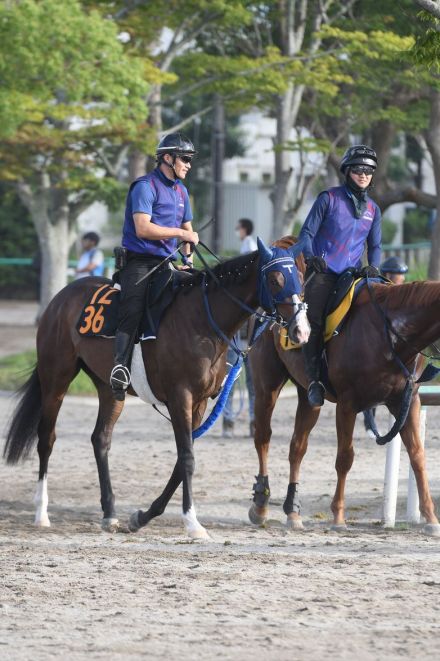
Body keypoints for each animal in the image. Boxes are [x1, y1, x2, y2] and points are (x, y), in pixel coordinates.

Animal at [5, 240, 312, 540]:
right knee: (46, 439)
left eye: (300, 278)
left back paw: (110, 514)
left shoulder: (198, 403)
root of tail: (61, 297)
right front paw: (192, 523)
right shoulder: (180, 397)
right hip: (56, 379)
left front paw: (141, 517)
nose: (301, 331)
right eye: (275, 279)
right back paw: (41, 513)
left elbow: (181, 460)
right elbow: (186, 458)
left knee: (100, 439)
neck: (200, 320)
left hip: (109, 389)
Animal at [249, 237, 440, 536]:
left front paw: (431, 518)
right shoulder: (349, 404)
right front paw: (338, 516)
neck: (390, 333)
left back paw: (293, 511)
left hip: (309, 396)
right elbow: (345, 457)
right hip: (266, 385)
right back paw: (260, 505)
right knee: (263, 437)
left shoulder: (406, 401)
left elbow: (418, 456)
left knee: (297, 446)